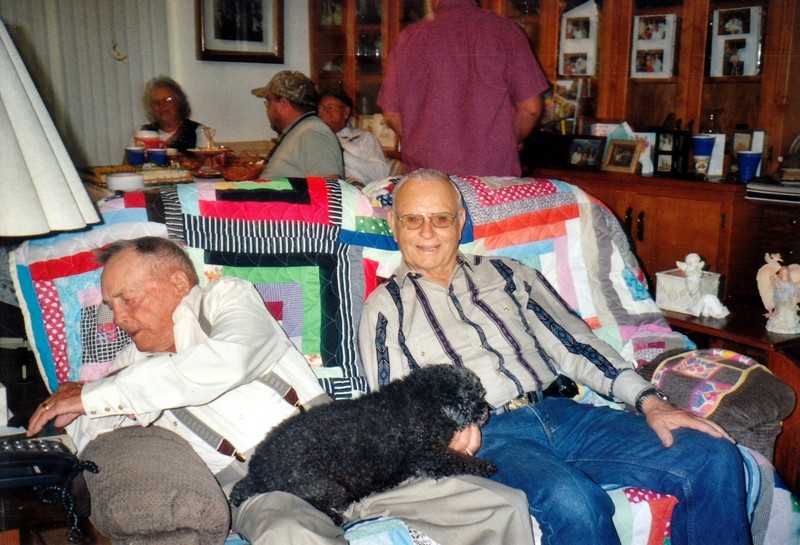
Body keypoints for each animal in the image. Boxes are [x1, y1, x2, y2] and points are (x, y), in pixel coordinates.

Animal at [229, 364, 496, 523]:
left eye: (481, 394)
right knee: (311, 503)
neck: (422, 402)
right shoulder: (426, 454)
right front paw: (484, 466)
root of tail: (257, 472)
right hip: (322, 486)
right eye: (472, 397)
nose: (487, 409)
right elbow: (458, 460)